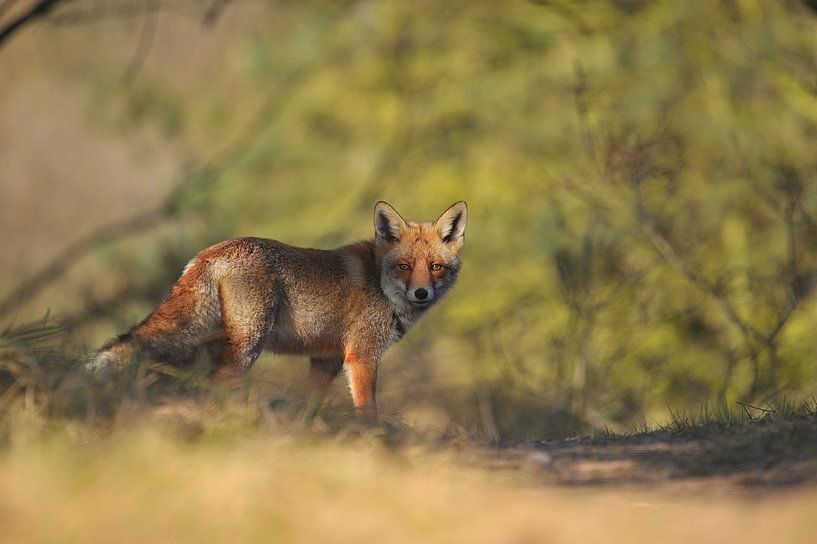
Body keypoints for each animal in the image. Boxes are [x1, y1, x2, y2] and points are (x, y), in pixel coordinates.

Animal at [88, 200, 466, 416]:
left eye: (435, 267)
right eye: (404, 266)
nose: (421, 293)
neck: (381, 283)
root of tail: (211, 251)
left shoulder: (326, 360)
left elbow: (308, 407)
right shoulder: (362, 356)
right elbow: (368, 412)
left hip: (205, 347)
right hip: (246, 347)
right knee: (207, 387)